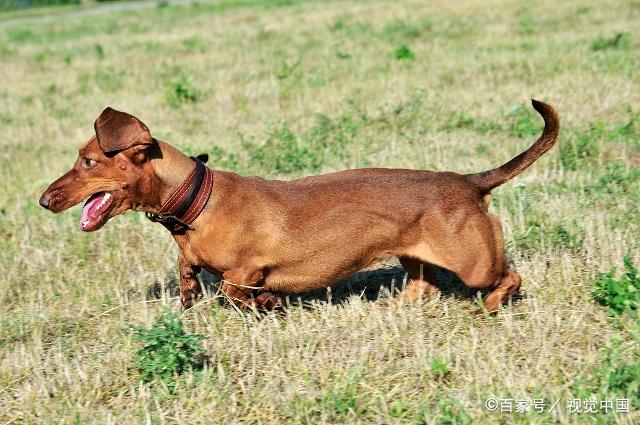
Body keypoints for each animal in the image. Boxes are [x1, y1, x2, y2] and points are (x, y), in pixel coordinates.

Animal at [40, 99, 556, 312]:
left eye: (88, 161)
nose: (44, 200)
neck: (197, 203)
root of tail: (469, 183)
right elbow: (193, 277)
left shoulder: (248, 268)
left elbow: (234, 291)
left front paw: (267, 302)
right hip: (416, 256)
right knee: (422, 287)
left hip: (475, 262)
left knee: (509, 277)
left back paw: (492, 305)